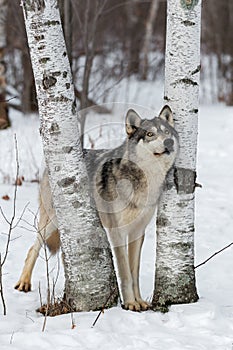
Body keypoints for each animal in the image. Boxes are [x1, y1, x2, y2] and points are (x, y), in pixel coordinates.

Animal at [15, 106, 178, 312]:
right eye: (150, 134)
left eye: (166, 132)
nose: (169, 142)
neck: (145, 180)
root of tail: (48, 170)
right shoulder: (117, 232)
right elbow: (125, 272)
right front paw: (130, 303)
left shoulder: (137, 232)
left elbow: (134, 272)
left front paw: (139, 301)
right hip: (52, 222)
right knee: (33, 247)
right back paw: (24, 282)